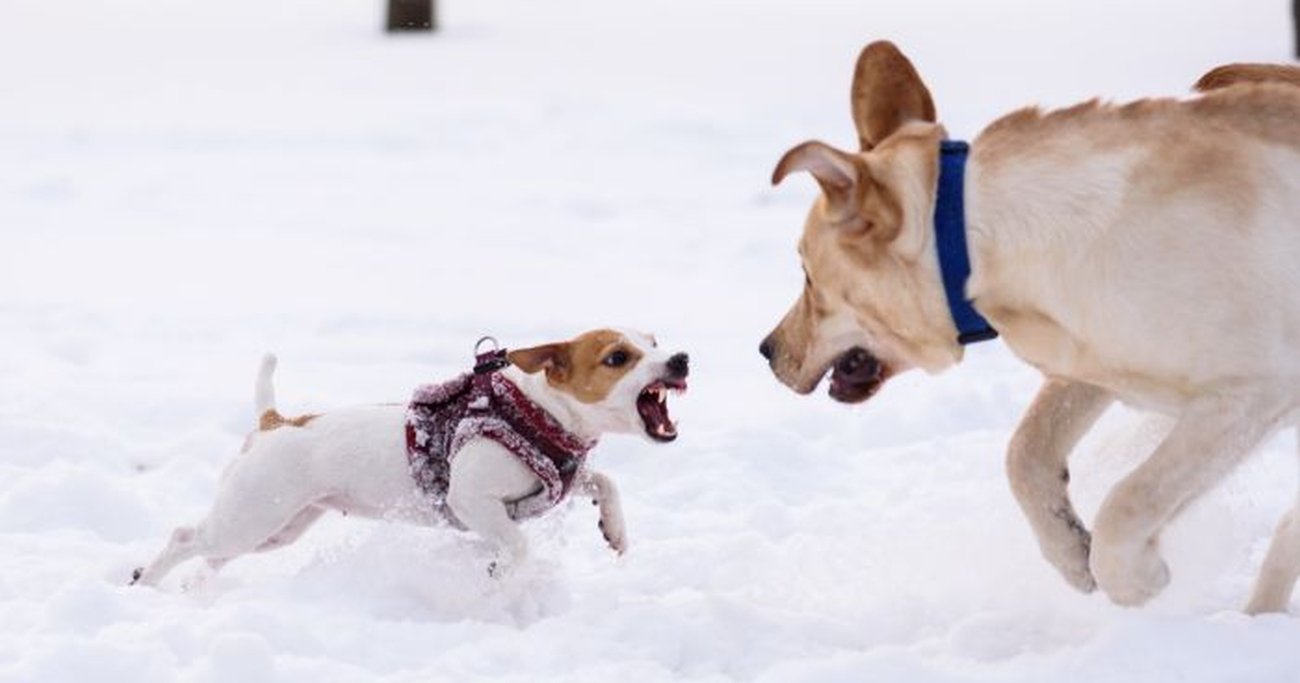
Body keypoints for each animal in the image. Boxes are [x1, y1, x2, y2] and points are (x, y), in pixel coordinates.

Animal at [129, 327, 691, 582]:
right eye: (618, 357)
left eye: (655, 340)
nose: (681, 358)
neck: (537, 414)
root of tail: (275, 422)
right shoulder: (471, 500)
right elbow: (516, 543)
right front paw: (500, 572)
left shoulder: (564, 477)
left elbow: (604, 482)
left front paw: (615, 531)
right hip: (251, 514)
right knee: (186, 538)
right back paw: (146, 583)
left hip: (276, 528)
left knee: (211, 558)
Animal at [759, 45, 1300, 614]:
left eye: (806, 274)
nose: (766, 350)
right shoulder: (1088, 361)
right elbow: (1024, 453)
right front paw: (1071, 551)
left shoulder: (1255, 393)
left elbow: (1128, 500)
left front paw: (1137, 579)